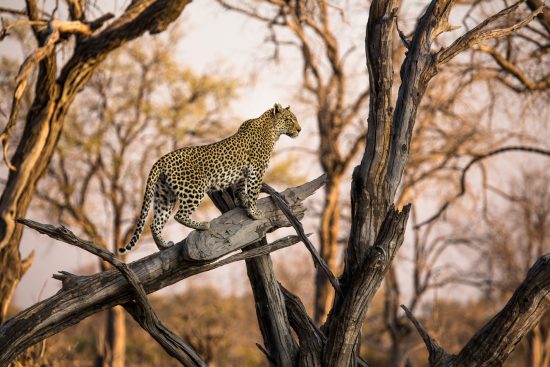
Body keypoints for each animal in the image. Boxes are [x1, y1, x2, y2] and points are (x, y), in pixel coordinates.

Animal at [118, 103, 304, 253]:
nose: (299, 130)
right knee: (179, 215)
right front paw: (255, 212)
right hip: (194, 189)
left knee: (155, 223)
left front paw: (242, 201)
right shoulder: (257, 169)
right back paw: (202, 225)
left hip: (164, 195)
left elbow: (241, 188)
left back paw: (163, 245)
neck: (272, 129)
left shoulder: (243, 173)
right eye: (289, 120)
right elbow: (253, 191)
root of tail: (161, 159)